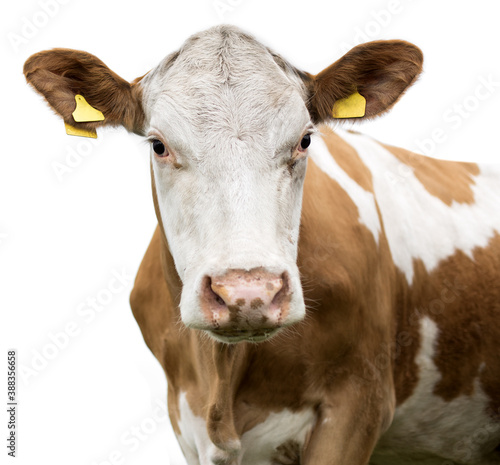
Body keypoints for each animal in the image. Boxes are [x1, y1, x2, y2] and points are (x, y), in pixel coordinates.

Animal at [24, 25, 500, 464]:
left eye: (305, 140)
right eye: (158, 145)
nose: (248, 293)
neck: (221, 377)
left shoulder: (358, 404)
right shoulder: (185, 421)